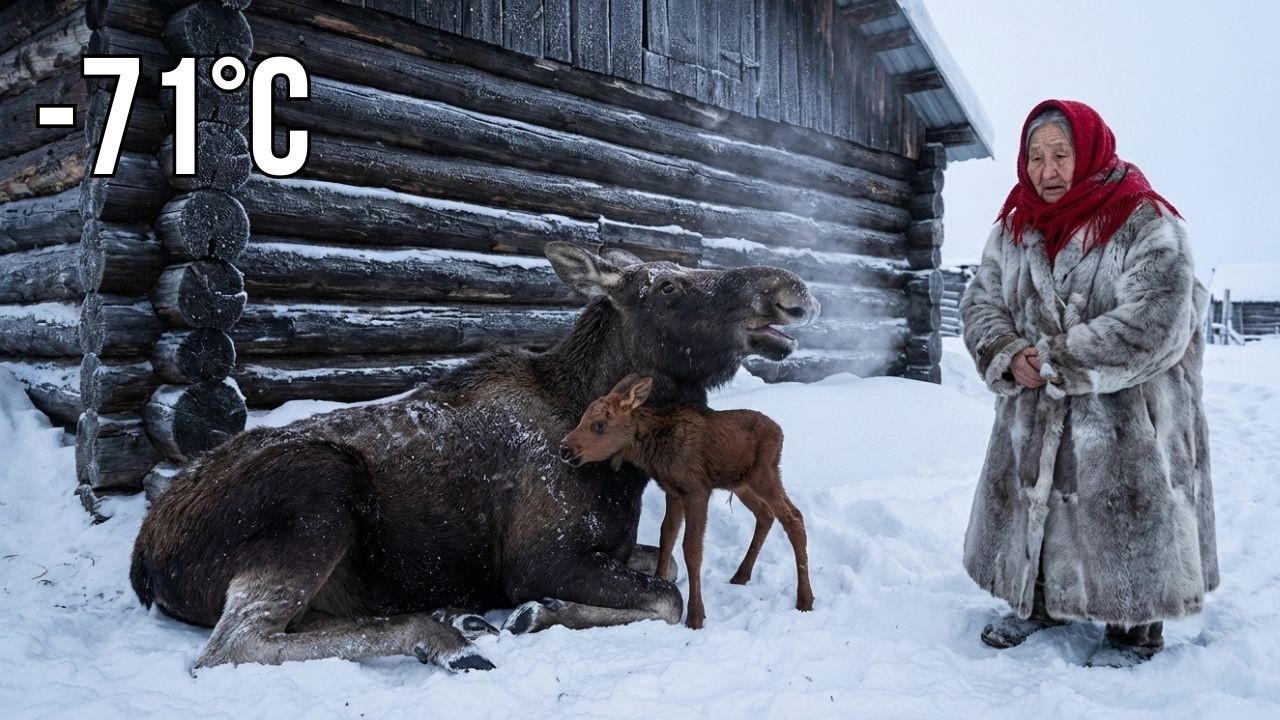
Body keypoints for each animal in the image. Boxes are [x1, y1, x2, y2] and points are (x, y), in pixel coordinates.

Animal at [560, 374, 814, 629]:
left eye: (599, 424)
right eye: (583, 418)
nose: (564, 448)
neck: (653, 453)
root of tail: (780, 432)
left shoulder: (697, 489)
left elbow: (691, 548)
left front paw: (696, 616)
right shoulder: (673, 492)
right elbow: (667, 536)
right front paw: (661, 579)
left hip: (764, 475)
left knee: (793, 517)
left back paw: (805, 599)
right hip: (740, 484)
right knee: (766, 514)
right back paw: (741, 575)